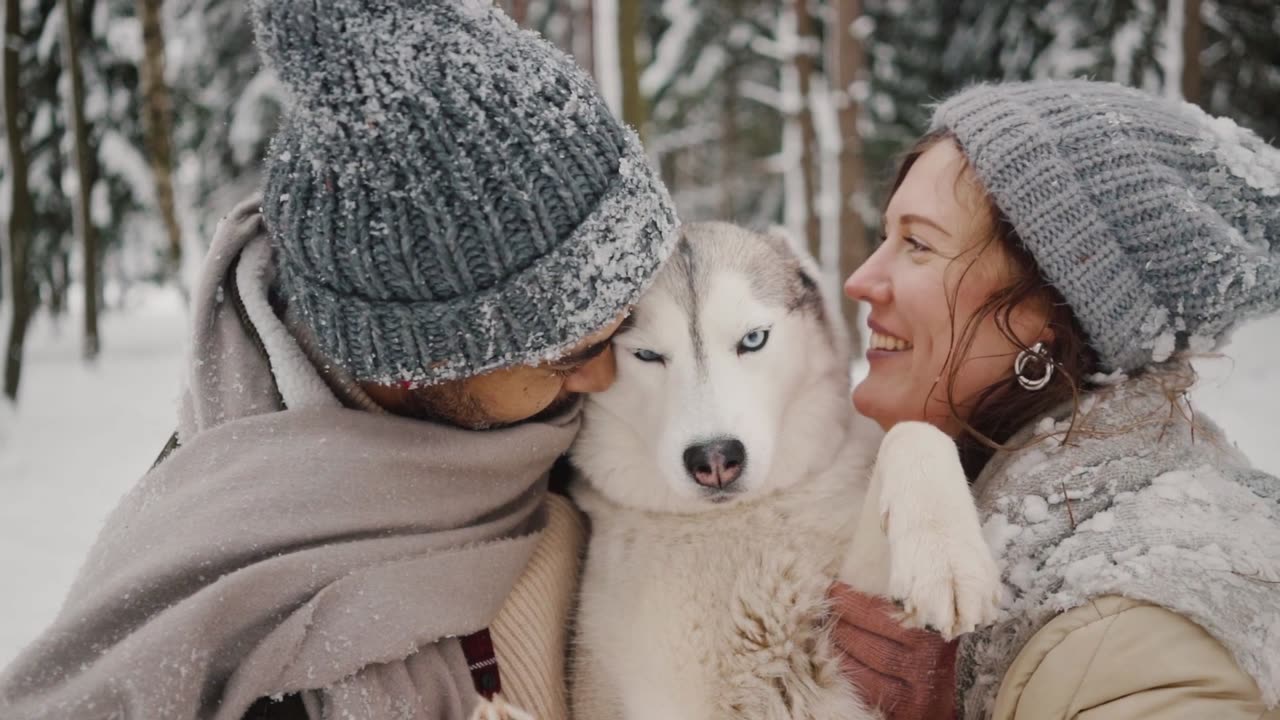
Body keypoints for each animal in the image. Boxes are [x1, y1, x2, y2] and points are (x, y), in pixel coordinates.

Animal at [568, 222, 998, 717]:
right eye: (647, 356)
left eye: (753, 339)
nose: (715, 459)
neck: (736, 520)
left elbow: (913, 430)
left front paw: (947, 562)